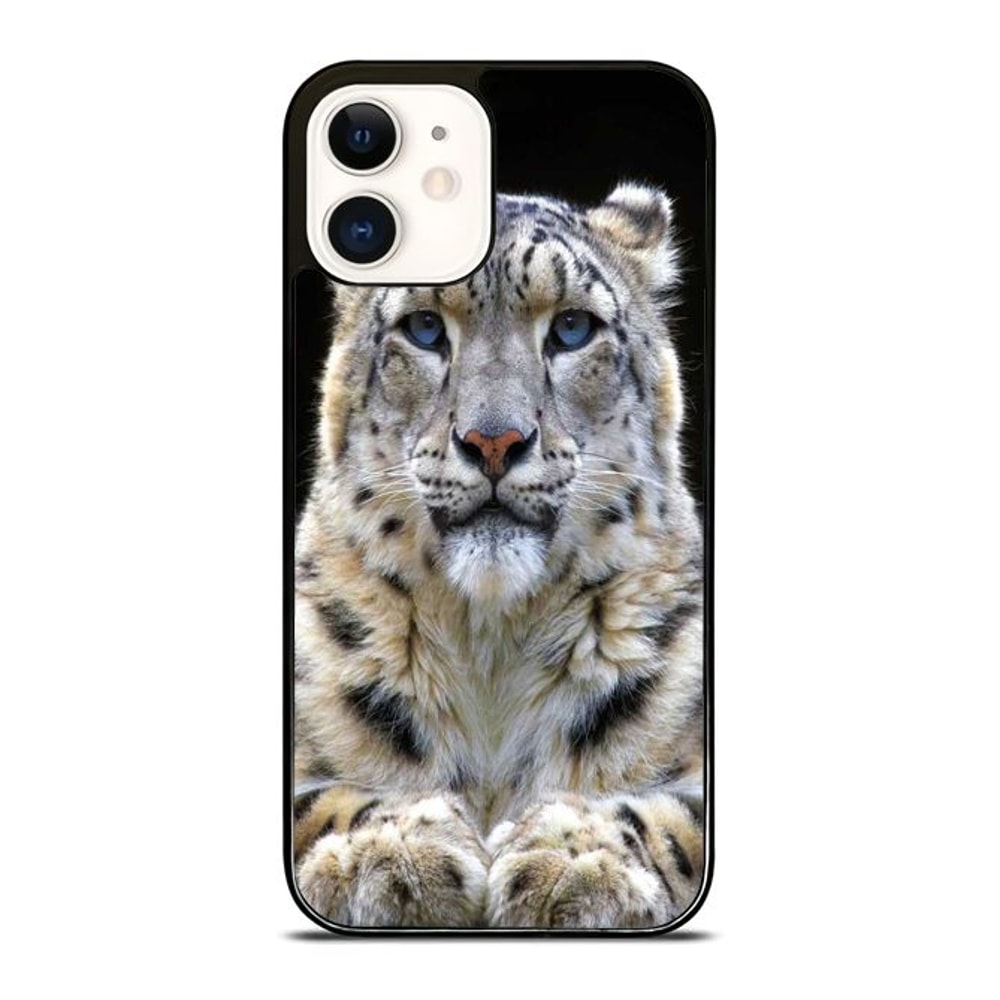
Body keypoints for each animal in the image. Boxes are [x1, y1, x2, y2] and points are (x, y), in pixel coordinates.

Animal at [292, 181, 706, 929]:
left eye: (571, 328)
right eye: (425, 328)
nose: (493, 440)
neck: (491, 645)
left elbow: (673, 814)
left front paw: (574, 856)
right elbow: (318, 799)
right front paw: (394, 847)